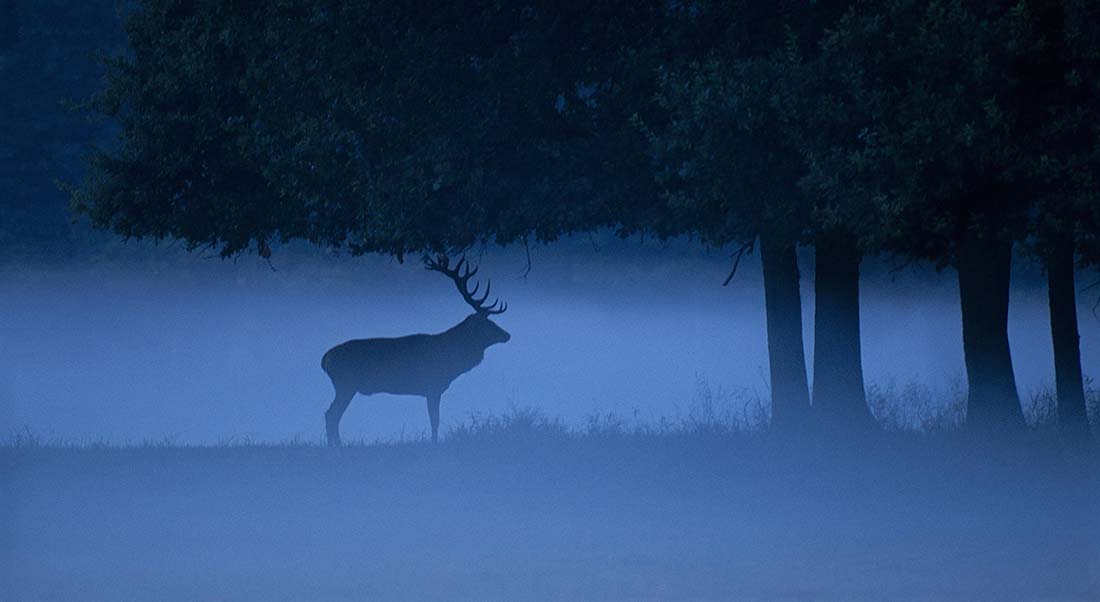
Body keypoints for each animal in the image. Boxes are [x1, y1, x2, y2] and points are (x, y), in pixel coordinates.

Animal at [319, 255, 506, 446]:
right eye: (487, 323)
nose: (507, 335)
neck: (451, 361)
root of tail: (325, 358)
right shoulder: (433, 386)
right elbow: (435, 420)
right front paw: (434, 443)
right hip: (345, 384)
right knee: (331, 414)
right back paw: (336, 445)